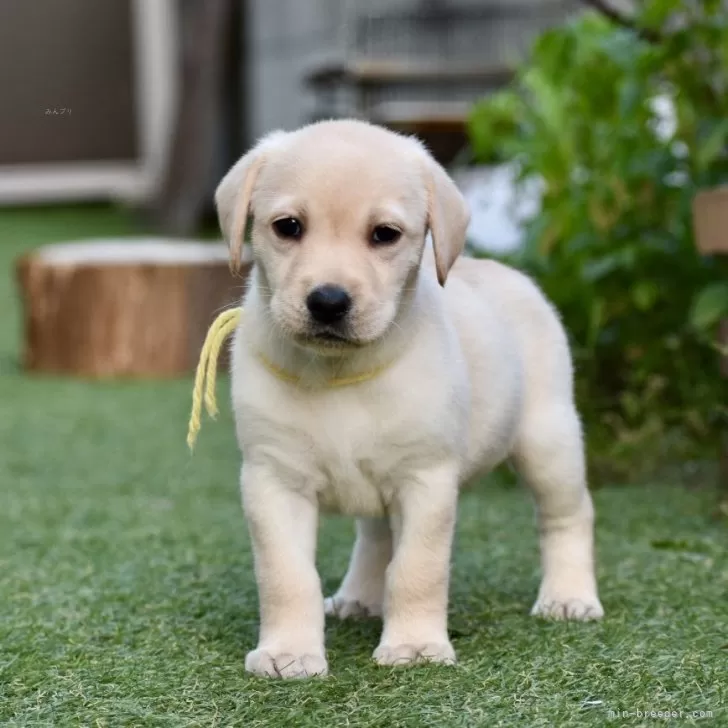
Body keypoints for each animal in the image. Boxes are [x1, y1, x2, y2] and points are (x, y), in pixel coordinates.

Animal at [216, 116, 604, 680]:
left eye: (385, 235)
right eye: (287, 227)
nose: (328, 301)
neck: (339, 374)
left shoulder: (426, 480)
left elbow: (417, 568)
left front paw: (416, 646)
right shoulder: (273, 481)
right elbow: (286, 575)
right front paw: (288, 652)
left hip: (548, 440)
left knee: (567, 515)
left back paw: (569, 596)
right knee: (376, 537)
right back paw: (358, 596)